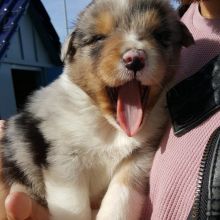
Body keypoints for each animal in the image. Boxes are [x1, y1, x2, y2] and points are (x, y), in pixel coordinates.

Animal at [0, 0, 193, 219]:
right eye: (99, 38)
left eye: (159, 35)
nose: (135, 59)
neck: (109, 126)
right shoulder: (64, 163)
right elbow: (74, 207)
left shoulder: (138, 157)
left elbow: (121, 198)